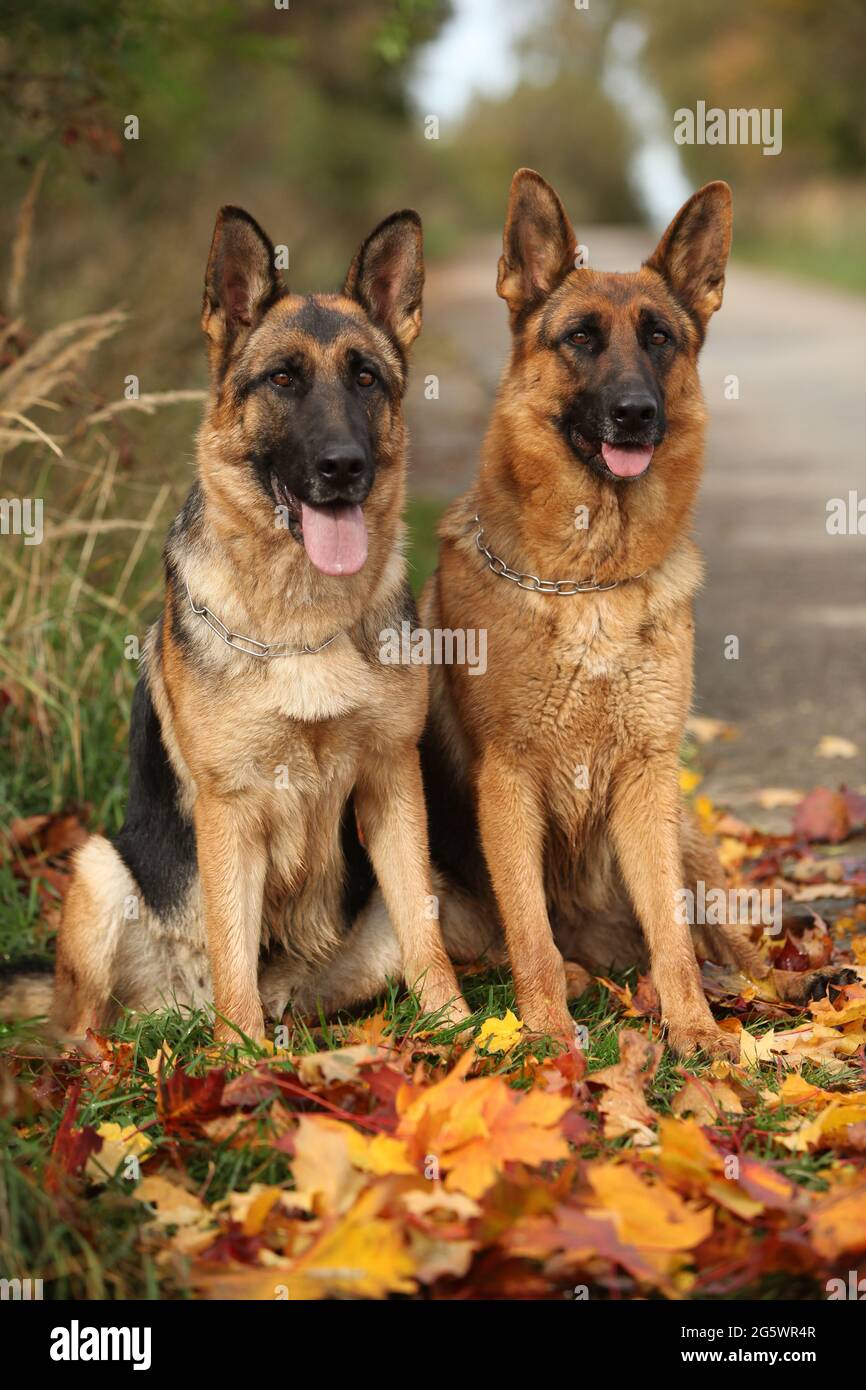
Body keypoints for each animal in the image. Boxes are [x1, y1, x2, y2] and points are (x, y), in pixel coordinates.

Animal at [50, 205, 469, 1045]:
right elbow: (232, 944)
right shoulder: (231, 809)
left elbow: (425, 933)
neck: (302, 616)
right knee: (92, 1015)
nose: (343, 467)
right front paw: (239, 1058)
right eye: (283, 379)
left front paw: (466, 1025)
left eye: (366, 378)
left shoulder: (392, 782)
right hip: (97, 867)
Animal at [422, 168, 856, 1056]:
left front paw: (694, 1030)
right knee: (528, 945)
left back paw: (785, 987)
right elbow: (529, 929)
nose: (635, 413)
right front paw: (548, 1036)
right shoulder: (508, 783)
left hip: (690, 837)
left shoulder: (648, 782)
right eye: (582, 338)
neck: (590, 581)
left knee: (726, 943)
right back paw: (578, 982)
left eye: (659, 338)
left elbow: (673, 931)